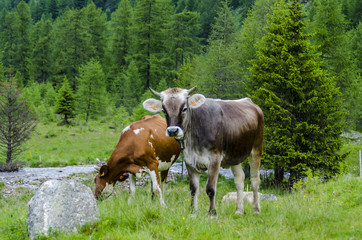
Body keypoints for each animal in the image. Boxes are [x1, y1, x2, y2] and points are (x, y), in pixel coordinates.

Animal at [143, 87, 264, 216]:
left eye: (184, 108)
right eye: (164, 110)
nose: (172, 131)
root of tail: (250, 102)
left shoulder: (214, 159)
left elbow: (210, 188)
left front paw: (212, 213)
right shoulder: (189, 161)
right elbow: (193, 188)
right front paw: (193, 212)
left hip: (256, 149)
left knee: (255, 180)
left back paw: (256, 210)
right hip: (235, 154)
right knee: (239, 179)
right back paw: (239, 210)